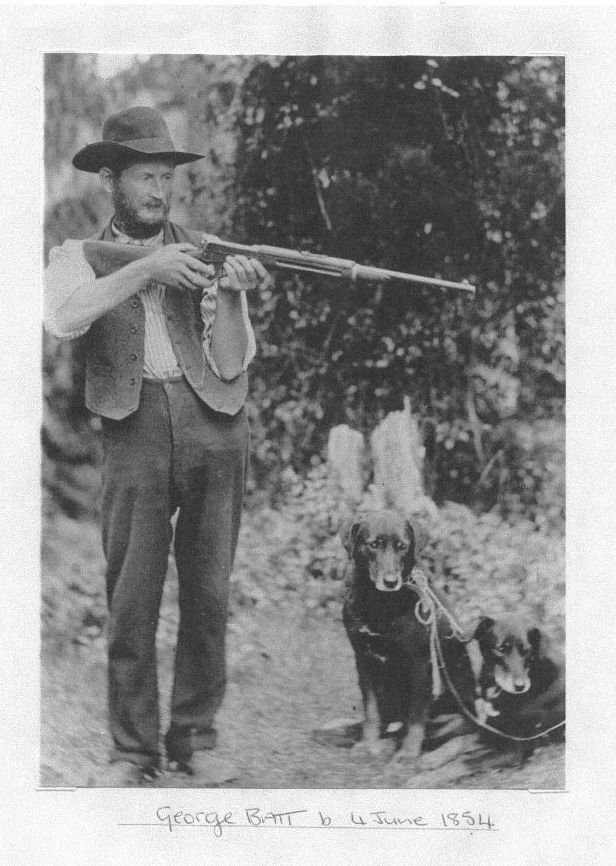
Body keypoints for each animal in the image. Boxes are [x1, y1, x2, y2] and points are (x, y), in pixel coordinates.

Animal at [342, 510, 438, 760]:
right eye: (373, 544)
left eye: (402, 546)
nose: (390, 582)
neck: (382, 602)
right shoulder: (363, 658)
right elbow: (370, 710)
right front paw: (367, 744)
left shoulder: (421, 662)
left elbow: (416, 715)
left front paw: (409, 751)